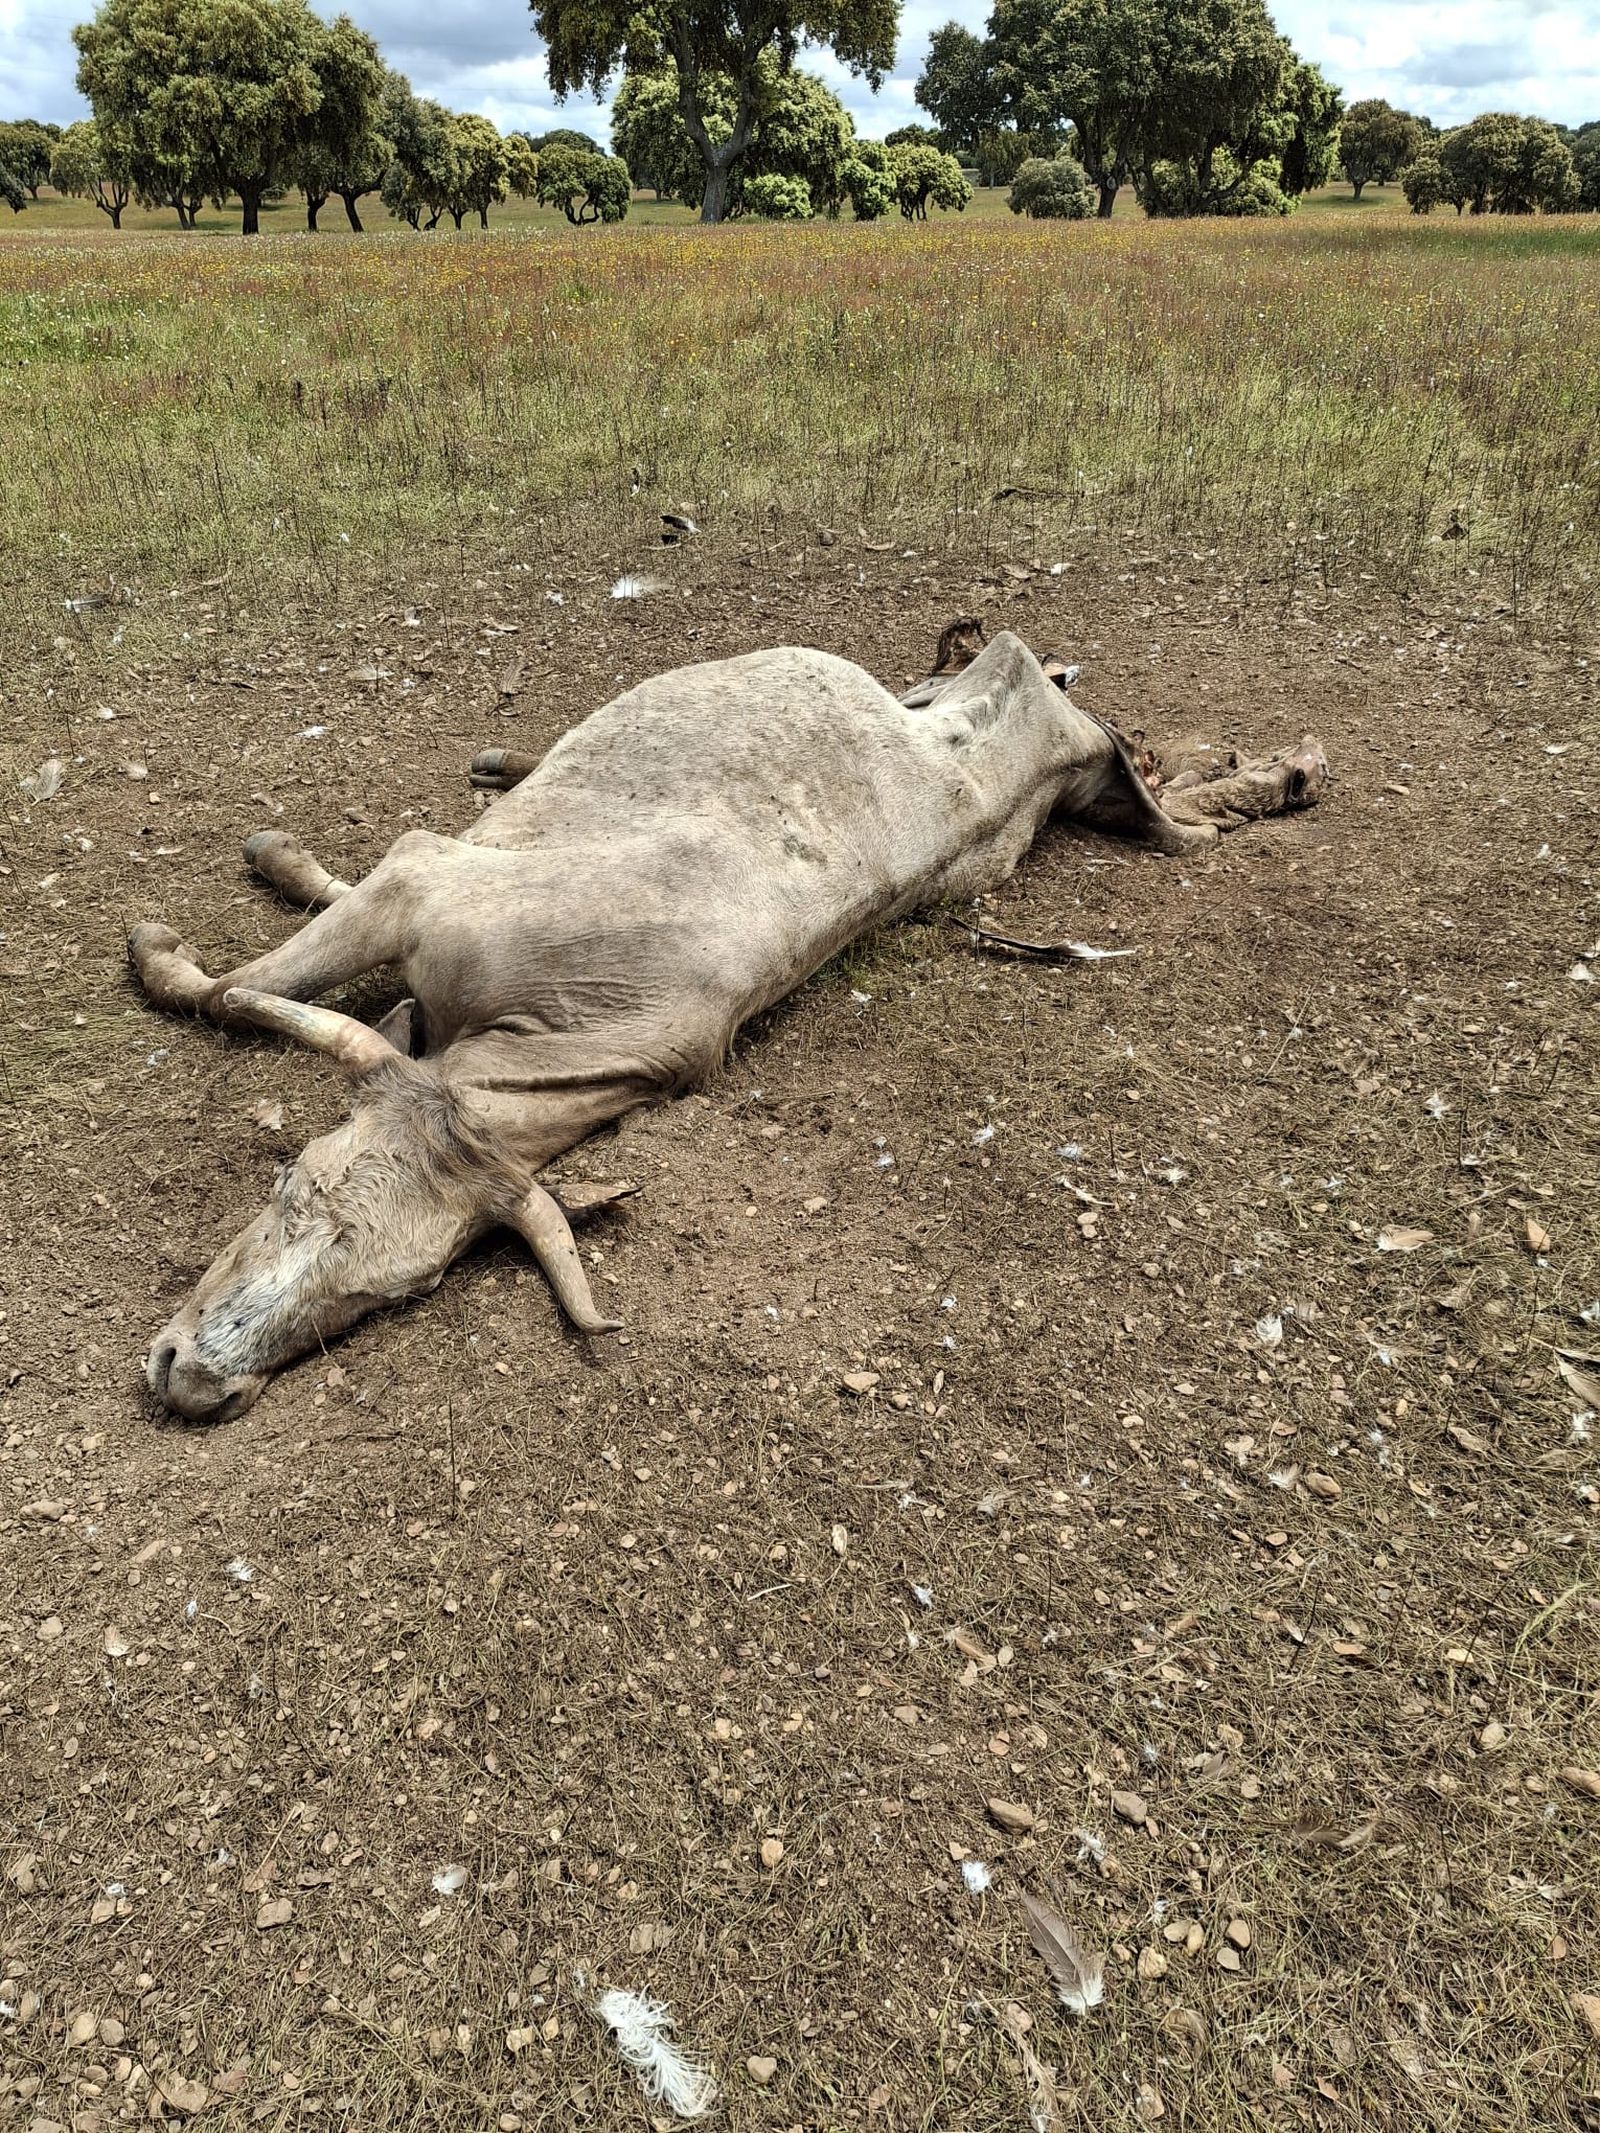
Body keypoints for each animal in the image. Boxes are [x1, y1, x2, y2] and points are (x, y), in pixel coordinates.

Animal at [131, 626, 1326, 1421]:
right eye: (290, 1186)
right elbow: (230, 982)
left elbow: (230, 986)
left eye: (400, 1291)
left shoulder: (425, 890)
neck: (549, 1026)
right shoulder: (423, 881)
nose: (193, 1381)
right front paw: (206, 916)